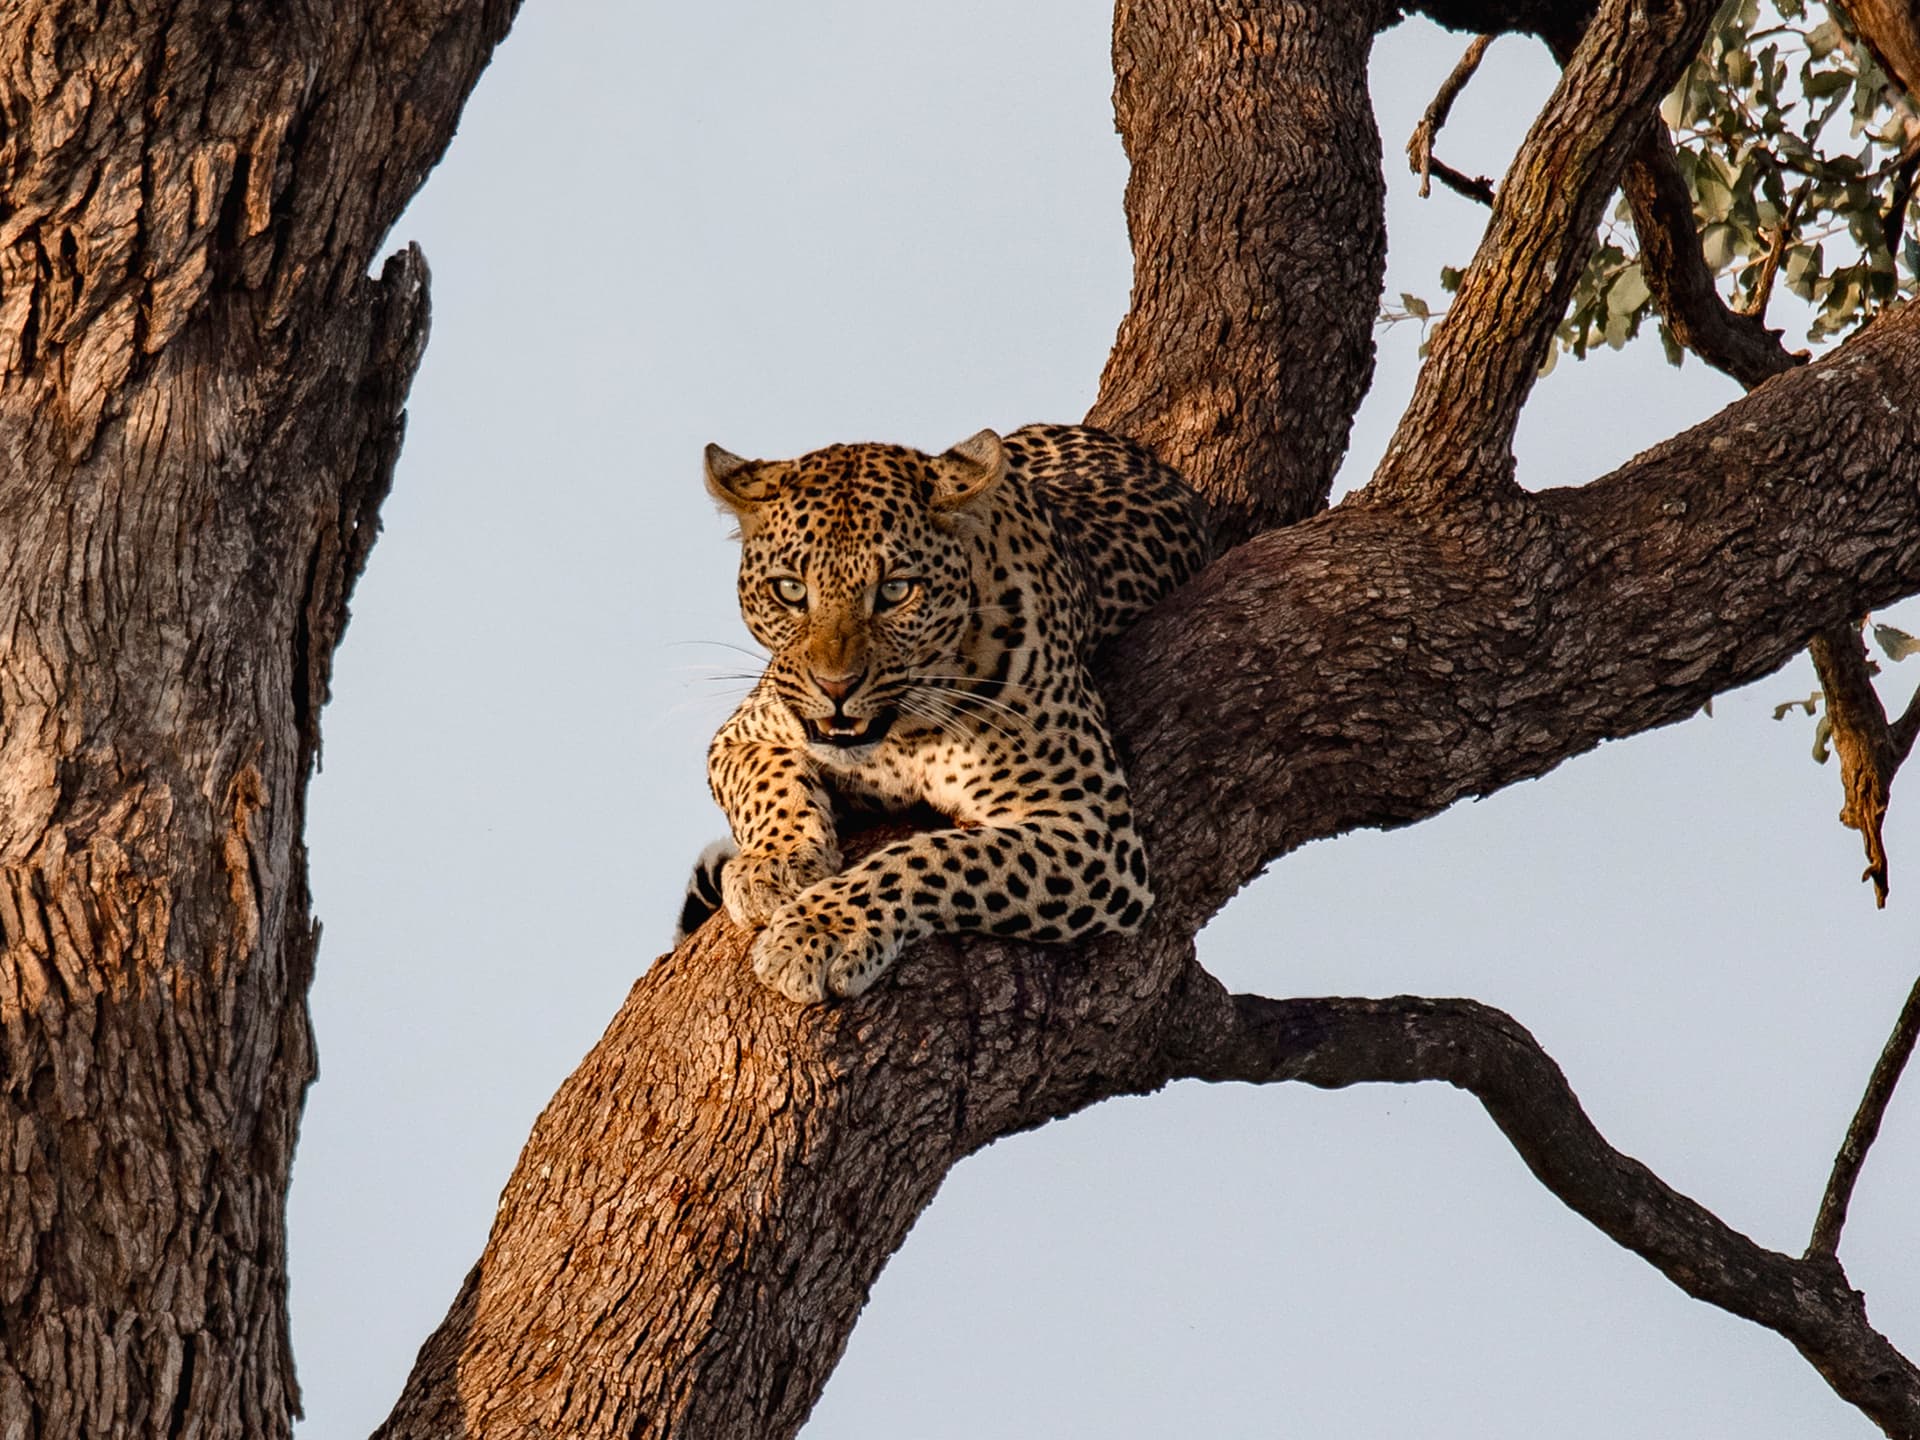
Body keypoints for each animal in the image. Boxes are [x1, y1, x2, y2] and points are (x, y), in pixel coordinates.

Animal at [677, 423, 1212, 1004]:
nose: (835, 686)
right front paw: (774, 866)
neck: (902, 734)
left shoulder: (1090, 829)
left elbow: (928, 860)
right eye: (791, 590)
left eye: (895, 590)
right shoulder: (745, 732)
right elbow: (769, 782)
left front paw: (817, 932)